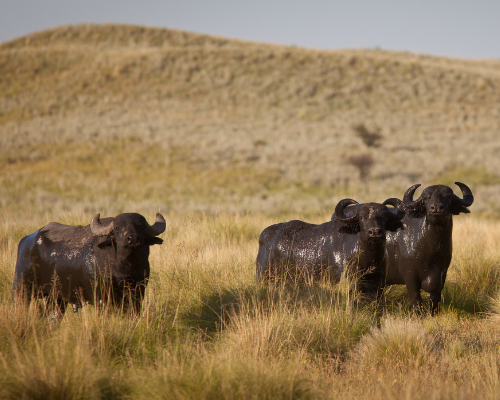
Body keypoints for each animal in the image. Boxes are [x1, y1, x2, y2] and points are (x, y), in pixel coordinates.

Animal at [12, 212, 166, 312]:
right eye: (118, 228)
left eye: (141, 226)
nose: (132, 239)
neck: (125, 267)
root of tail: (26, 241)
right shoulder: (100, 297)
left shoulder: (138, 293)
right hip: (21, 290)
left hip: (56, 299)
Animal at [256, 198, 404, 298]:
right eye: (361, 217)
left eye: (384, 217)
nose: (374, 232)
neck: (369, 258)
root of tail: (264, 237)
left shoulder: (378, 285)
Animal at [384, 183, 474, 314]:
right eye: (426, 198)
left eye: (448, 197)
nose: (436, 208)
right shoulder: (410, 277)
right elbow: (416, 302)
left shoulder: (442, 274)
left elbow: (435, 301)